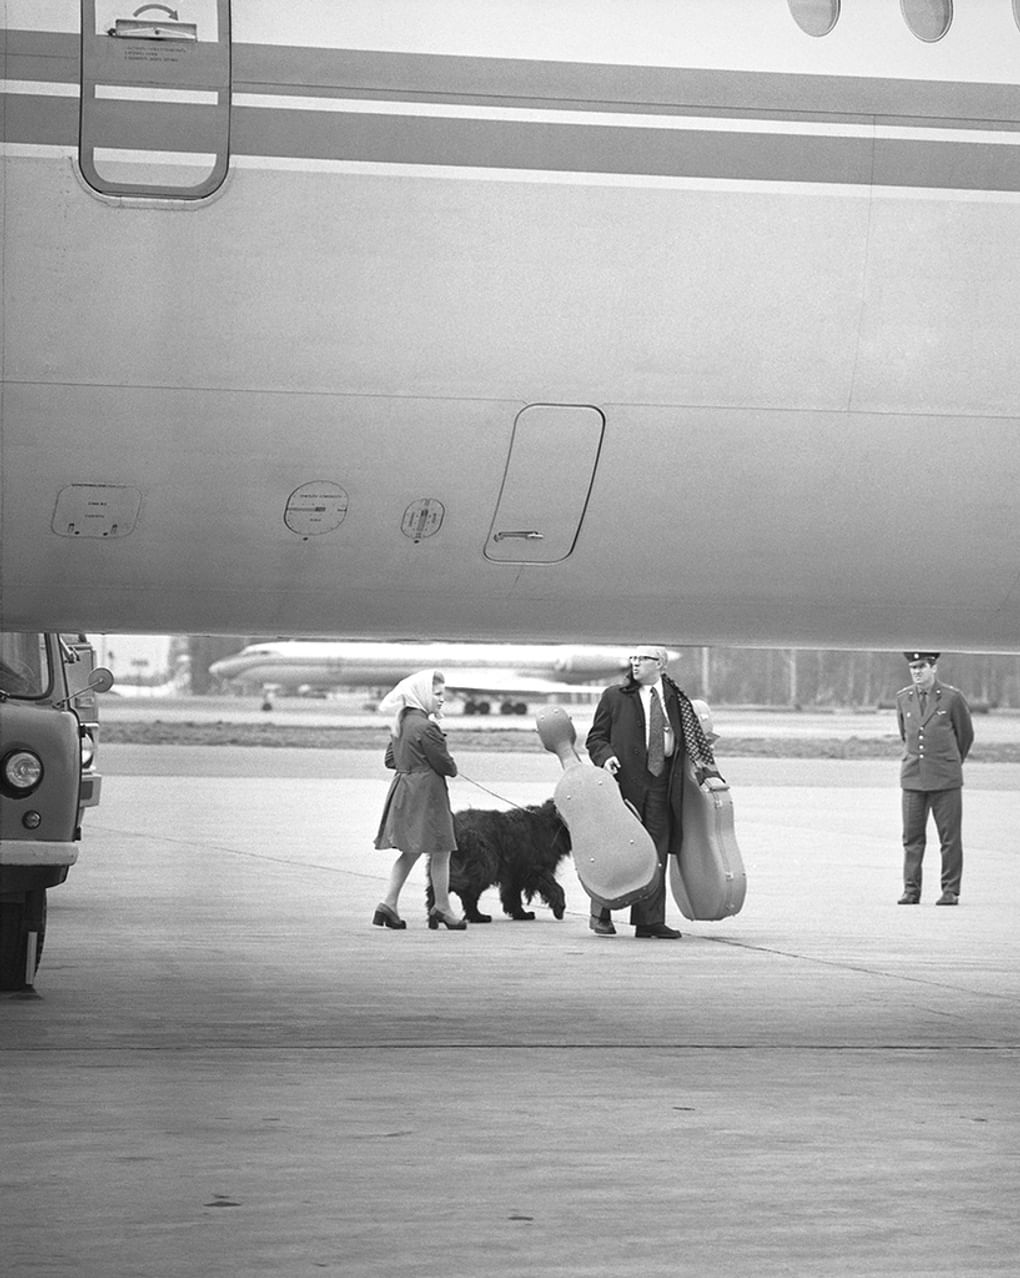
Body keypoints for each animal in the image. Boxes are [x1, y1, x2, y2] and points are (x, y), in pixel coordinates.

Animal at [426, 797, 575, 920]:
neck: (550, 825)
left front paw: (521, 914)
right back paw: (476, 916)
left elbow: (512, 895)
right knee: (465, 889)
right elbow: (554, 886)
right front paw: (559, 907)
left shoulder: (514, 873)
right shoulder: (535, 868)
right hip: (484, 863)